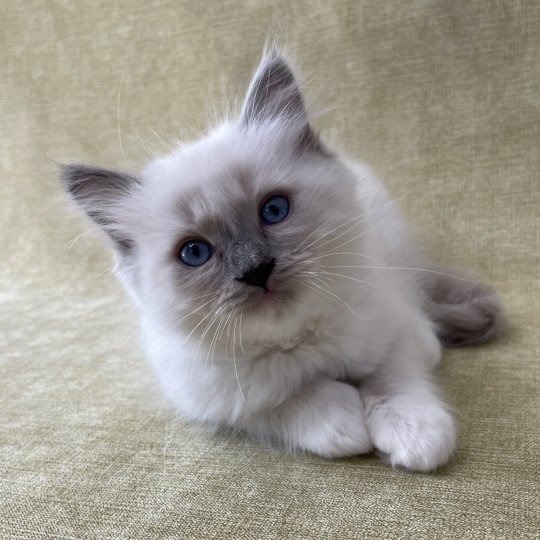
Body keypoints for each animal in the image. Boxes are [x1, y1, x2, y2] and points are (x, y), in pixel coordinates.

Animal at [61, 51, 504, 472]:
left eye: (274, 210)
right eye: (195, 253)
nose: (256, 270)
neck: (300, 344)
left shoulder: (407, 333)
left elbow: (394, 379)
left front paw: (416, 437)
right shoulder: (214, 399)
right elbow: (285, 402)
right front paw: (344, 421)